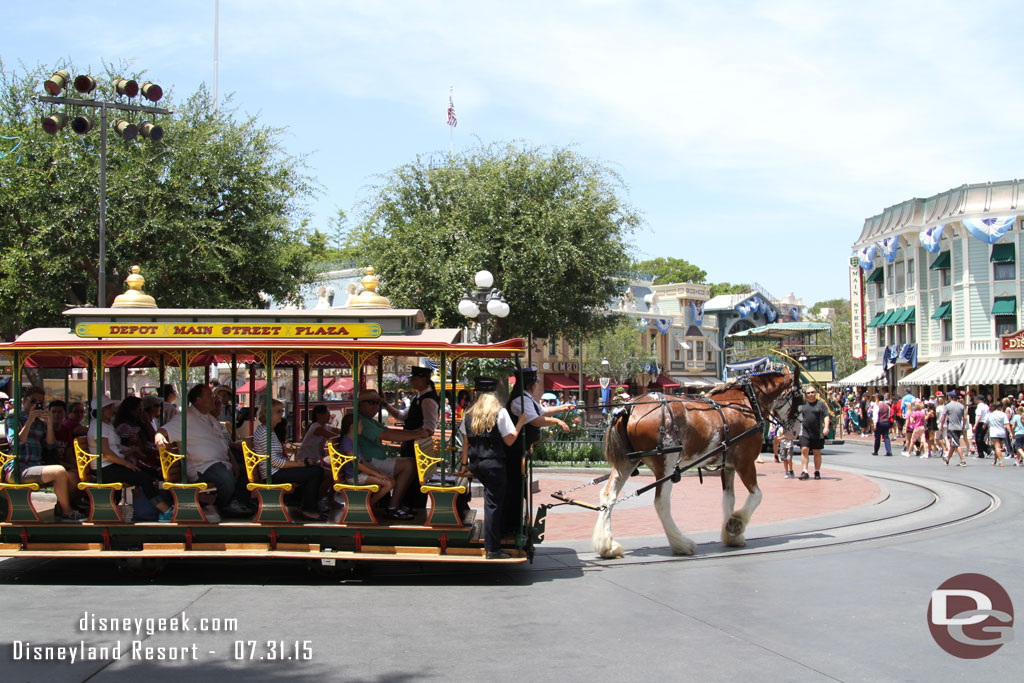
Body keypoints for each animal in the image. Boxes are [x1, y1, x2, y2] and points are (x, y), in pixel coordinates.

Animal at [589, 370, 802, 557]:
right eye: (800, 397)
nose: (795, 432)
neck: (746, 404)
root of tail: (628, 408)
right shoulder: (746, 461)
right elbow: (757, 495)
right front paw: (736, 524)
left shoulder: (728, 465)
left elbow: (729, 499)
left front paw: (731, 536)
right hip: (666, 463)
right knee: (661, 502)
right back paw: (681, 544)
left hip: (628, 461)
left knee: (608, 495)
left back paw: (607, 546)